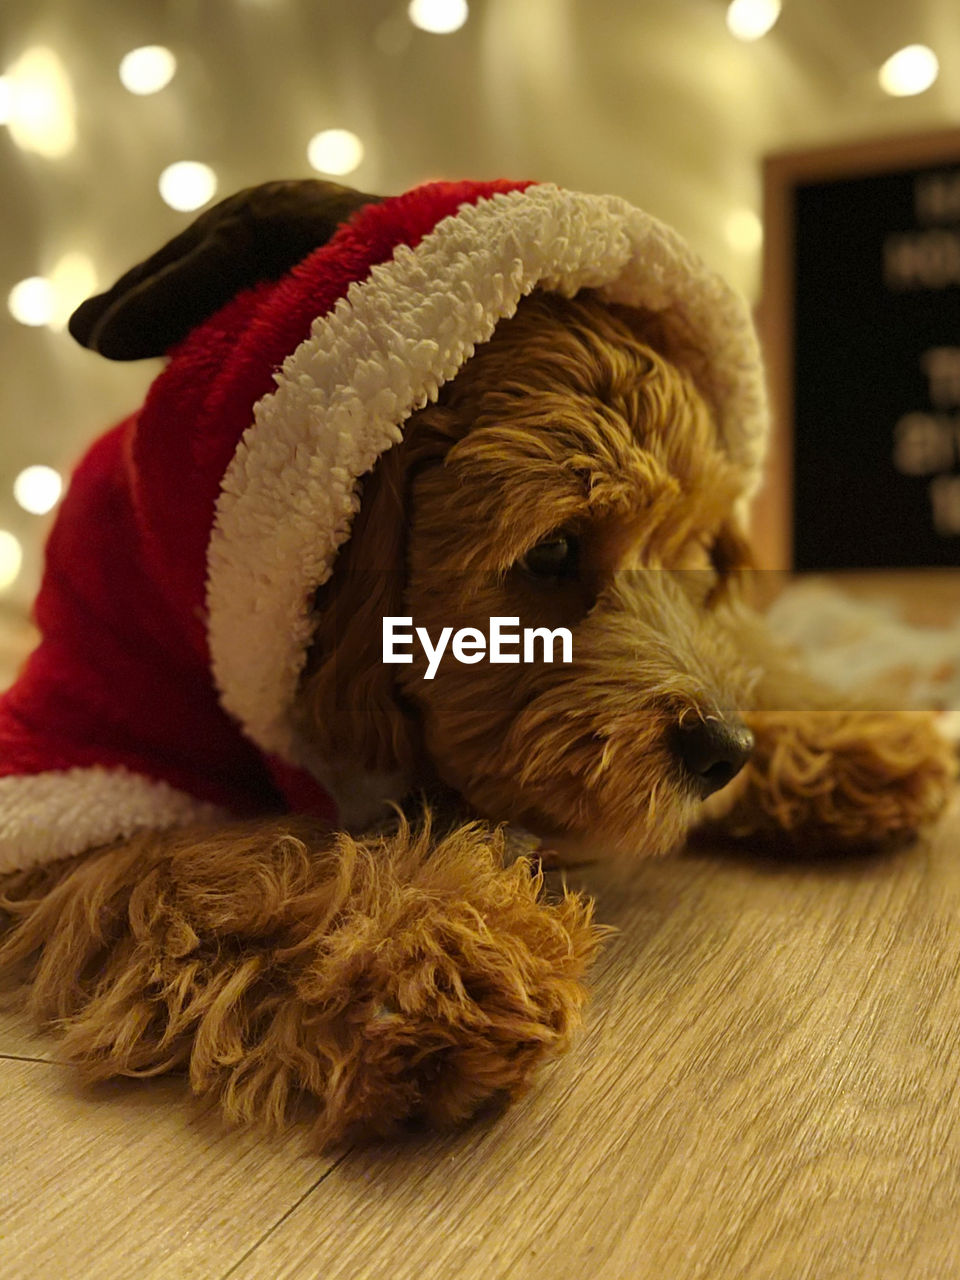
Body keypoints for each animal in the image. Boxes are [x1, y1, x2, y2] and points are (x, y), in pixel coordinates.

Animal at [0, 175, 957, 1146]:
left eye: (693, 553)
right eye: (551, 550)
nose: (726, 752)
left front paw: (834, 732)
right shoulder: (97, 741)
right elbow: (225, 867)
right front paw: (433, 956)